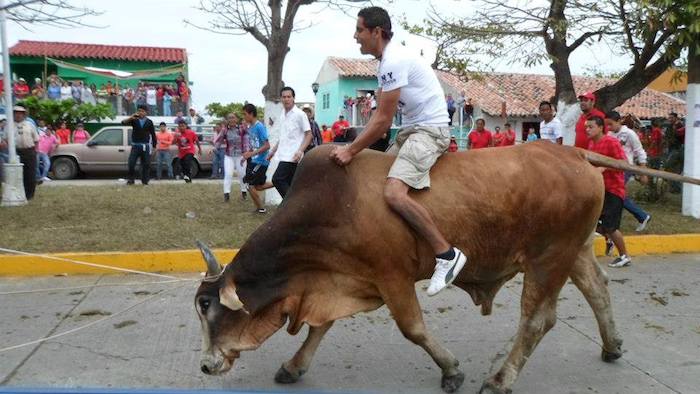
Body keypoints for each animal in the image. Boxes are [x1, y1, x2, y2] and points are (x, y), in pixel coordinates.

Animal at [196, 142, 624, 394]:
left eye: (206, 306)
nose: (205, 364)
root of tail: (575, 154)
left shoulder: (392, 276)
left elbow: (413, 328)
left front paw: (451, 371)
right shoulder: (344, 277)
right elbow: (321, 327)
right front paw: (293, 366)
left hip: (547, 259)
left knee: (537, 320)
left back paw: (500, 380)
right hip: (574, 251)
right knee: (599, 288)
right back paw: (612, 346)